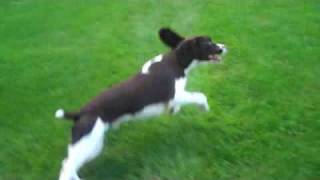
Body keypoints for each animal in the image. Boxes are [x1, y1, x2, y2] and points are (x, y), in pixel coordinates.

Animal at [55, 28, 226, 180]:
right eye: (208, 43)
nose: (224, 47)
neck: (176, 60)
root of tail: (80, 113)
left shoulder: (176, 97)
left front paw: (174, 110)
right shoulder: (175, 95)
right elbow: (200, 96)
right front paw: (204, 108)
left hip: (91, 143)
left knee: (69, 163)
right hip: (89, 141)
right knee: (67, 165)